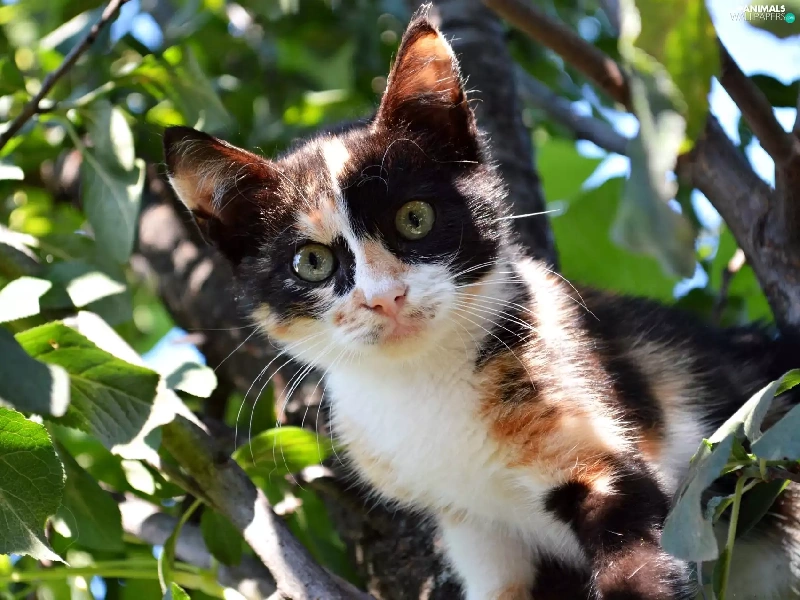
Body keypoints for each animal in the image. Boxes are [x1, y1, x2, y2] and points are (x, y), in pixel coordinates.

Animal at [163, 8, 800, 600]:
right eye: (312, 263)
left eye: (414, 218)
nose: (384, 298)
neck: (424, 384)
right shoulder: (473, 527)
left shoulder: (593, 430)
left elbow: (639, 558)